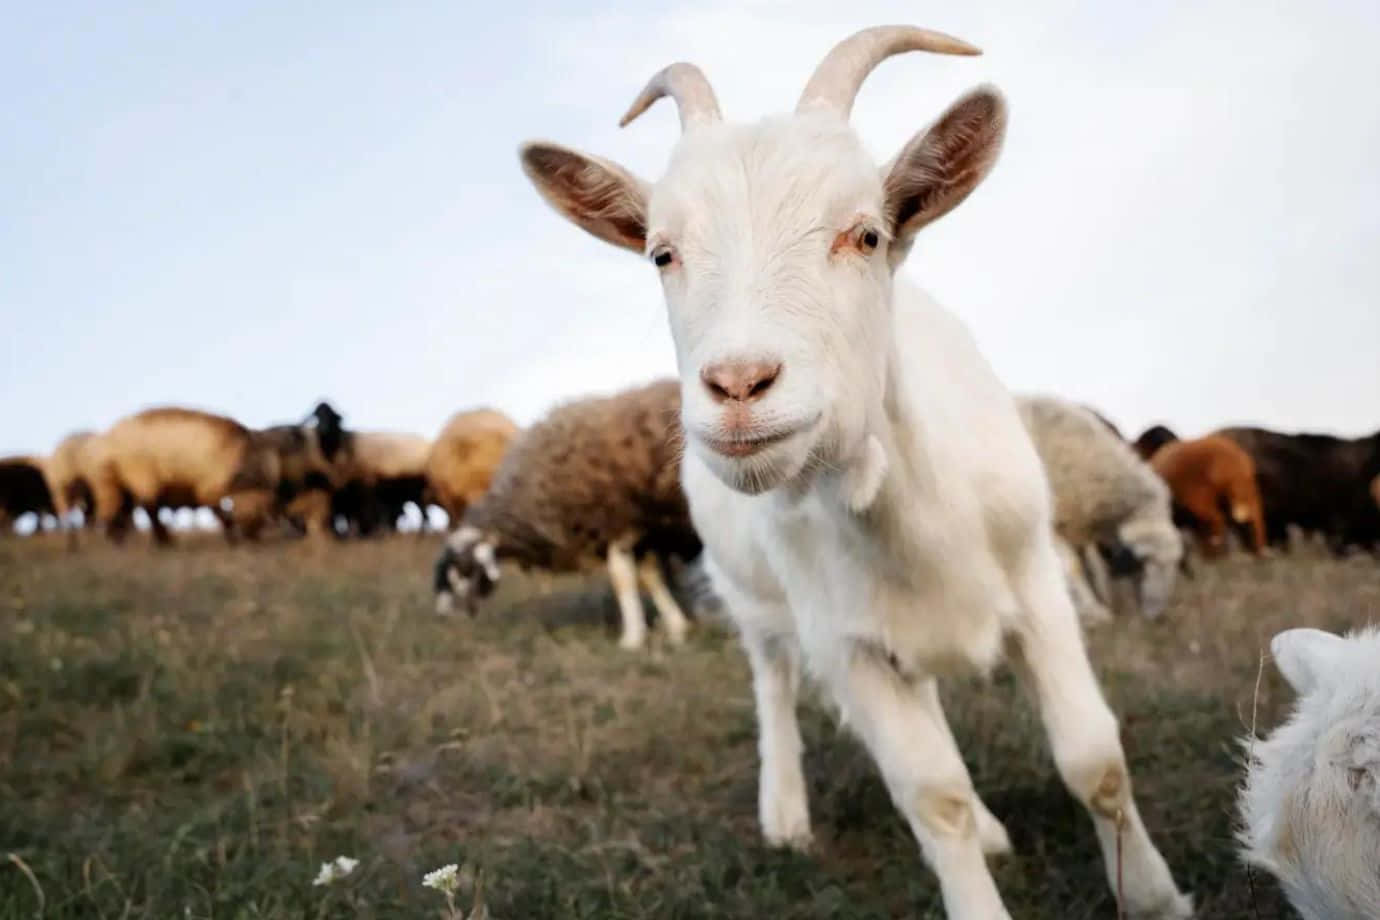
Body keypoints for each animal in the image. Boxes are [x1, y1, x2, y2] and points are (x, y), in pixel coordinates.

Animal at [433, 377, 701, 651]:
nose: (444, 617)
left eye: (462, 571)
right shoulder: (642, 534)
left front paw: (632, 638)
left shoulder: (616, 526)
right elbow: (650, 577)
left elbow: (623, 578)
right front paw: (676, 628)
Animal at [1015, 397, 1186, 626]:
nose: (1155, 615)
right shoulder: (1051, 527)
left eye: (1174, 565)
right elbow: (1073, 567)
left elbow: (1095, 561)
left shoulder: (1081, 521)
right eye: (1144, 564)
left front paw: (1105, 596)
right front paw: (1094, 612)